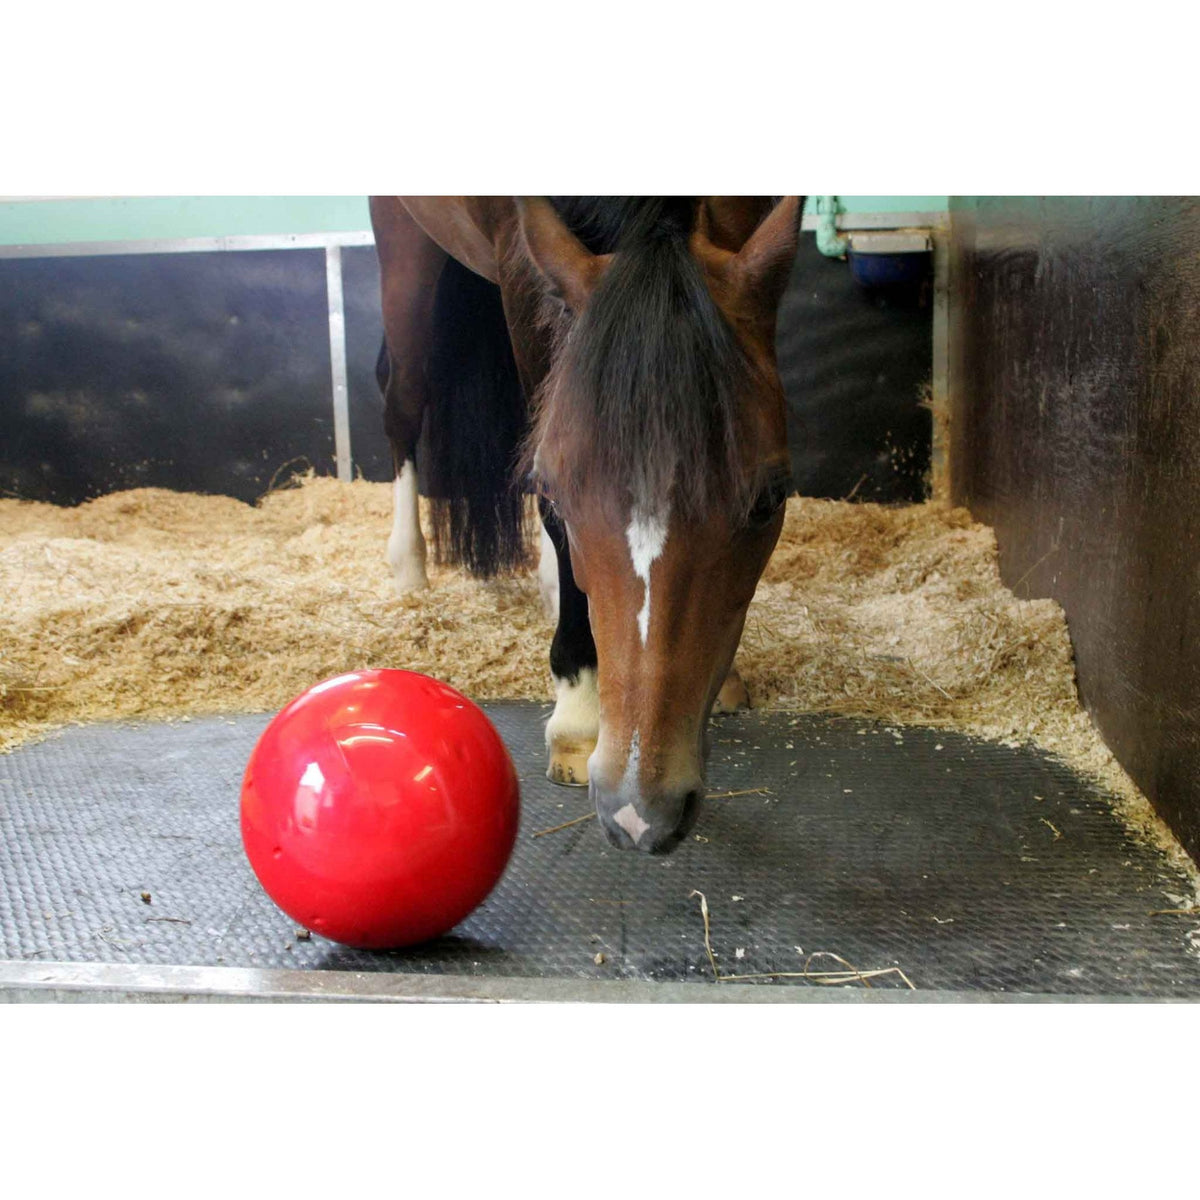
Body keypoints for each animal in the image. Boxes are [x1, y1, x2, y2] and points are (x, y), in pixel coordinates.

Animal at [370, 196, 804, 854]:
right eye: (556, 490)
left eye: (769, 499)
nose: (640, 810)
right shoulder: (517, 262)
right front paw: (577, 711)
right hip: (404, 245)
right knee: (402, 396)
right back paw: (410, 568)